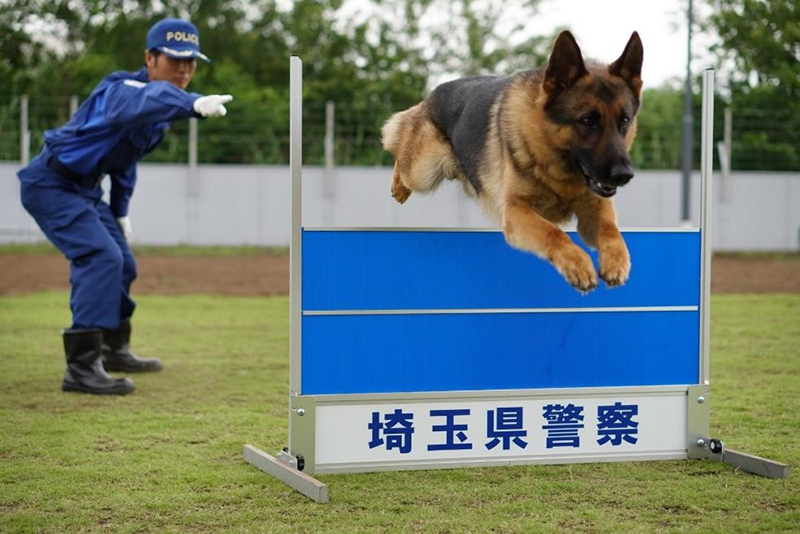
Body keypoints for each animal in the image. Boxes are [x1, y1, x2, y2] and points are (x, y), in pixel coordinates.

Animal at [382, 31, 644, 294]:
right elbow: (553, 233)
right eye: (588, 121)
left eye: (624, 120)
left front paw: (618, 261)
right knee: (399, 141)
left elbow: (611, 230)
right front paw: (577, 264)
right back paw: (398, 185)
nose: (624, 175)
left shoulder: (595, 208)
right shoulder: (517, 211)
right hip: (422, 172)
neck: (557, 174)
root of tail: (434, 92)